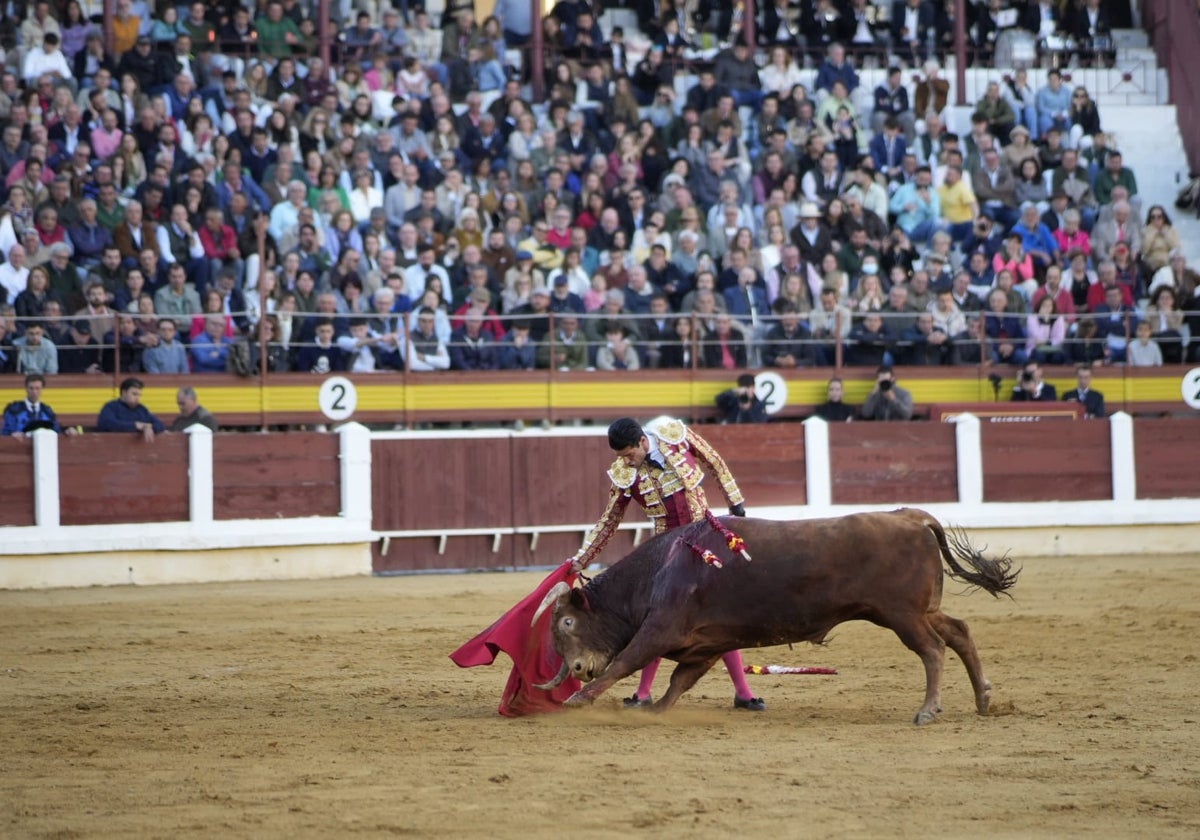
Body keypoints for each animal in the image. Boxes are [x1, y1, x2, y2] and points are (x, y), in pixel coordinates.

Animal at [532, 508, 1012, 724]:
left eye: (567, 624)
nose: (578, 668)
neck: (662, 568)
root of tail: (911, 516)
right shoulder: (705, 645)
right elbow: (679, 682)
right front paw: (656, 712)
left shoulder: (660, 629)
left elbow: (626, 662)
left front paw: (577, 701)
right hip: (918, 610)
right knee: (959, 632)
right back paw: (984, 698)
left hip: (901, 615)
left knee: (932, 649)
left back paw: (928, 710)